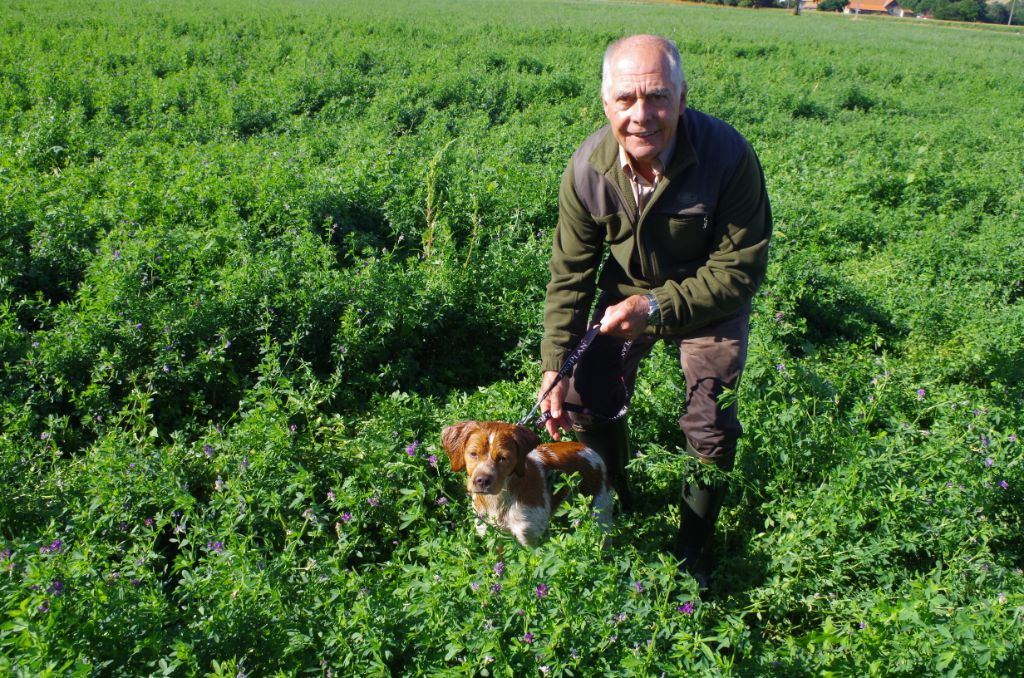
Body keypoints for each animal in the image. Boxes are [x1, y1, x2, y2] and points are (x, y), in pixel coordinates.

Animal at [442, 419, 614, 548]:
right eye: (473, 454)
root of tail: (588, 448)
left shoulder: (530, 536)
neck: (499, 501)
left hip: (600, 511)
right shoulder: (490, 535)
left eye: (503, 458)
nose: (482, 481)